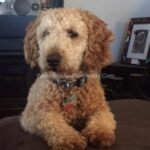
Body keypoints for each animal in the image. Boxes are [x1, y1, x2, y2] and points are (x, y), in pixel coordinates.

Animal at [20, 7, 116, 150]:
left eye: (72, 33)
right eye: (46, 33)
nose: (52, 59)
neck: (68, 84)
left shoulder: (101, 107)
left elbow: (103, 118)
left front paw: (101, 132)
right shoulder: (32, 115)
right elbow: (51, 121)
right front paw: (69, 137)